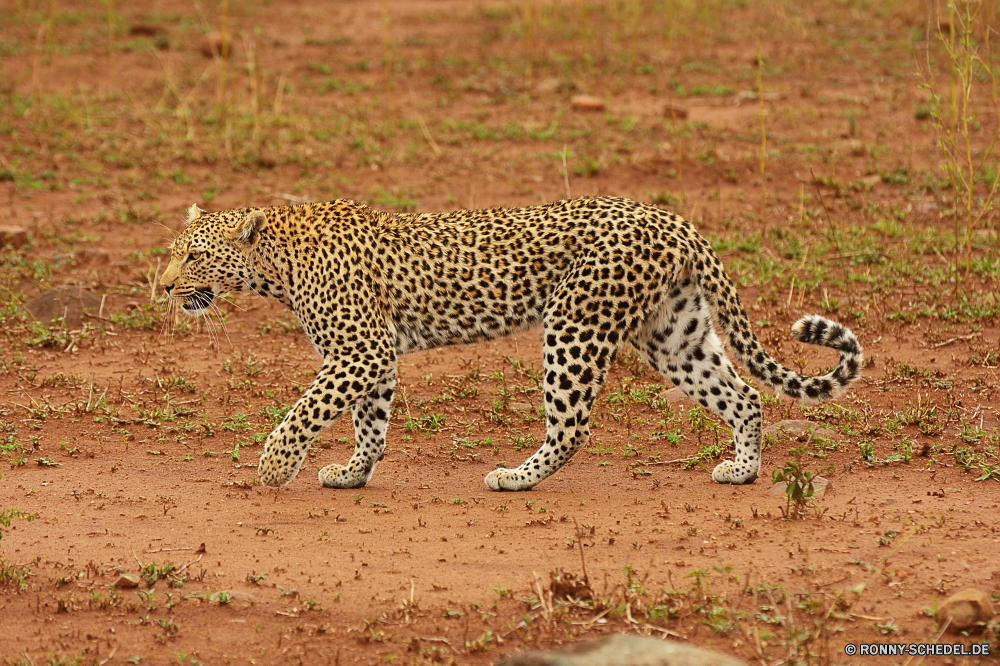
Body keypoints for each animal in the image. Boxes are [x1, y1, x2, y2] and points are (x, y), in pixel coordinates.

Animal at [160, 195, 864, 490]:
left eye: (192, 257)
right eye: (172, 253)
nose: (162, 287)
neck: (274, 263)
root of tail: (674, 219)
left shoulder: (360, 350)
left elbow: (308, 409)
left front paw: (275, 467)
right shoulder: (373, 355)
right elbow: (370, 423)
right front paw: (353, 473)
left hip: (575, 324)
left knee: (573, 426)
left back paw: (516, 478)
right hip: (674, 333)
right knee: (744, 395)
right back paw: (742, 470)